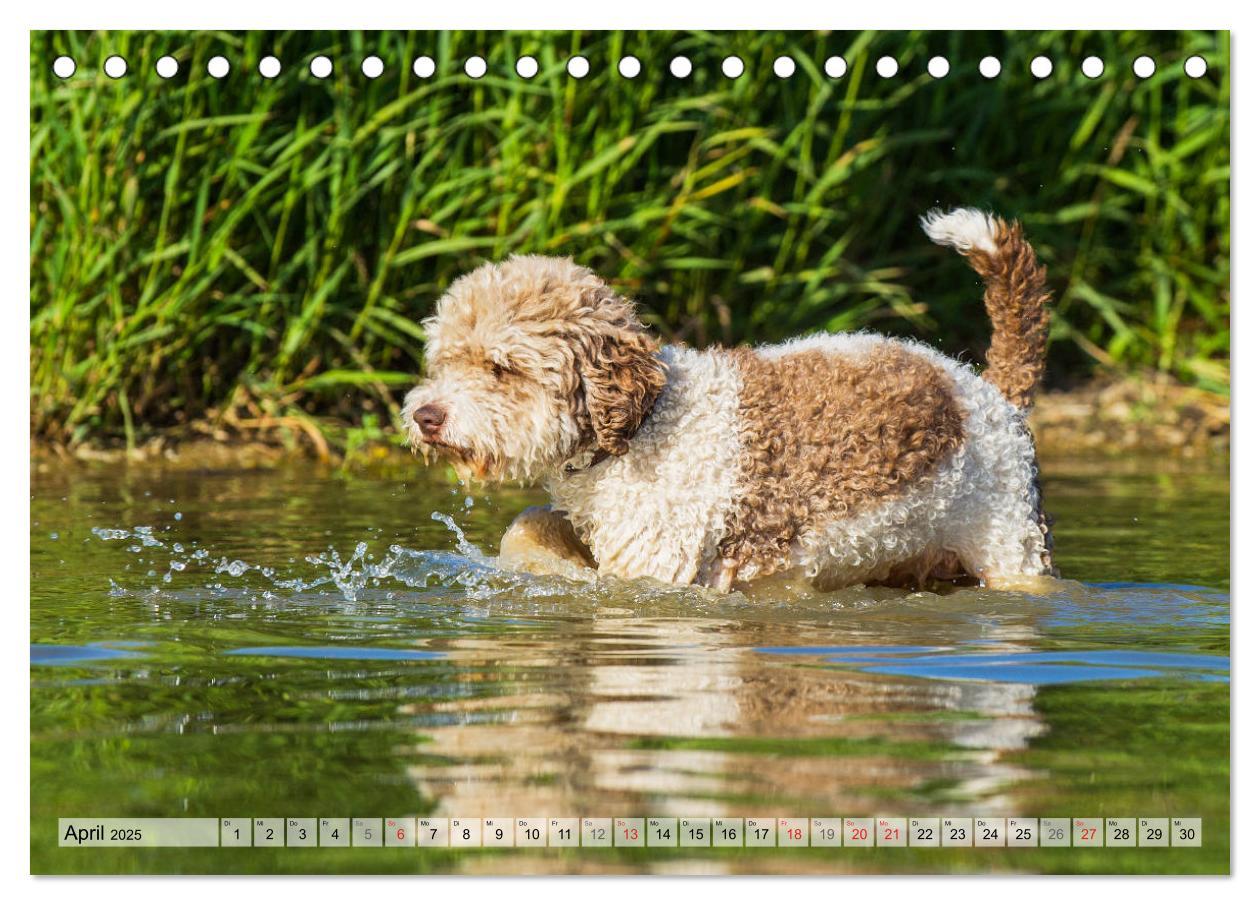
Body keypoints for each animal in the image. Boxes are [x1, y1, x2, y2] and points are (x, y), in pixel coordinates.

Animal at [400, 210, 1053, 599]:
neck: (642, 426)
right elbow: (530, 526)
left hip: (1012, 542)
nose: (424, 416)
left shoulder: (659, 571)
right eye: (442, 360)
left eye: (501, 366)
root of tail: (987, 387)